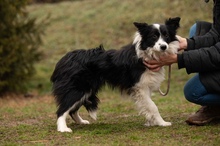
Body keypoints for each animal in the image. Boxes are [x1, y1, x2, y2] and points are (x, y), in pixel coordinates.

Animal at [50, 17, 180, 132]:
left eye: (166, 36)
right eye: (154, 36)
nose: (163, 46)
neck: (147, 53)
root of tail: (64, 60)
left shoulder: (145, 86)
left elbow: (148, 105)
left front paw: (151, 122)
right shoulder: (140, 87)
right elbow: (153, 106)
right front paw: (162, 123)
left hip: (86, 90)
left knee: (72, 110)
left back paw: (81, 122)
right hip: (77, 89)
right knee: (62, 110)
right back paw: (63, 129)